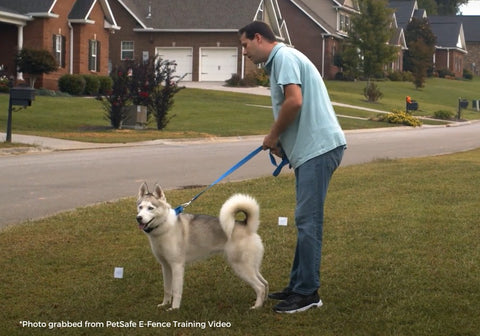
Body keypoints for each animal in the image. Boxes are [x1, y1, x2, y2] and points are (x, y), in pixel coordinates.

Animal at [137, 182, 268, 312]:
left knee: (260, 286)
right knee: (265, 283)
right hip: (252, 267)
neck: (163, 226)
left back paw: (257, 307)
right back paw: (264, 301)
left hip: (241, 268)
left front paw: (174, 308)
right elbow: (167, 289)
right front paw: (164, 304)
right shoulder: (165, 266)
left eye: (150, 208)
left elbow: (176, 291)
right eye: (140, 207)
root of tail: (246, 226)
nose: (138, 218)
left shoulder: (177, 266)